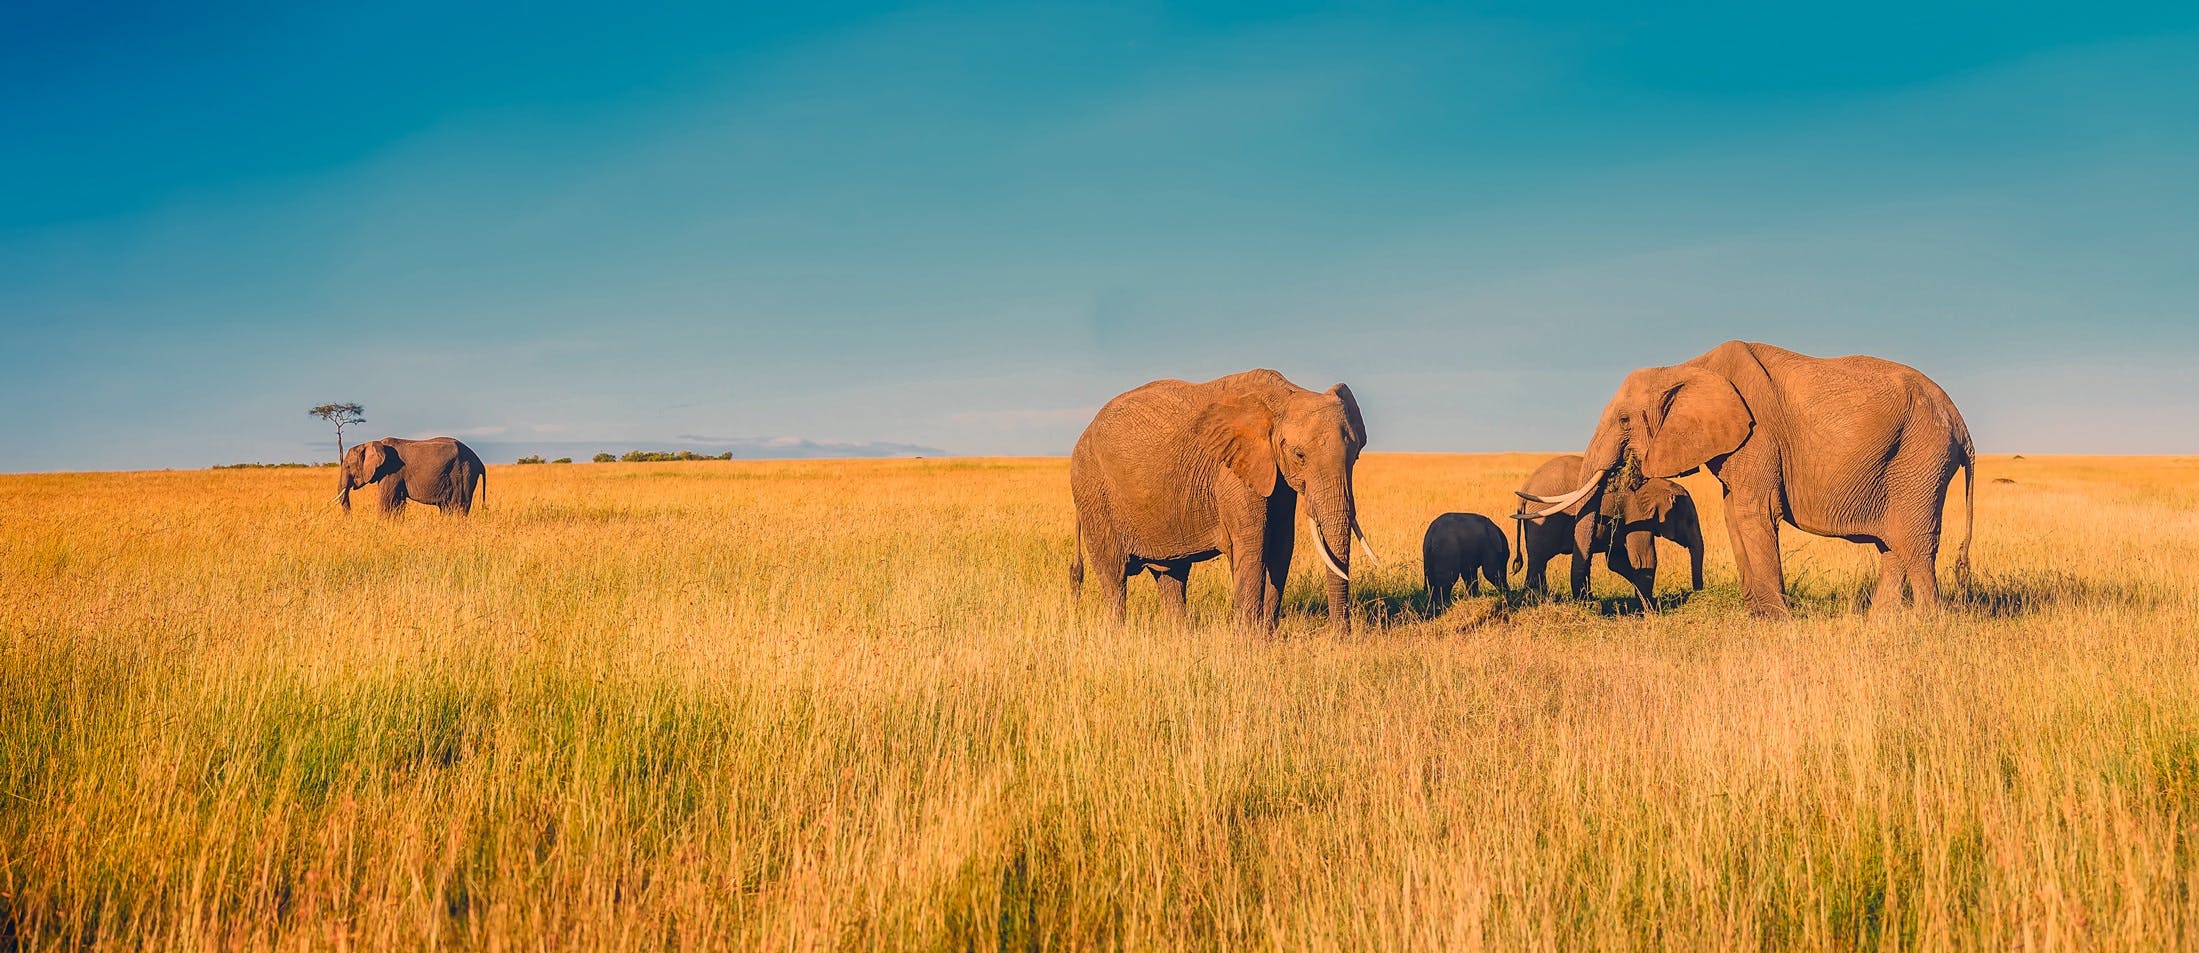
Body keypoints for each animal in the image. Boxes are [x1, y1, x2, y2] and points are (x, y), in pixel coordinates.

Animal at [336, 435, 488, 517]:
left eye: (348, 466)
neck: (375, 443)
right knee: (447, 508)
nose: (350, 518)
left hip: (463, 474)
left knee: (458, 507)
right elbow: (398, 503)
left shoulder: (392, 471)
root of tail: (479, 461)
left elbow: (386, 501)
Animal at [1068, 369, 1372, 629]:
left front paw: (1266, 637)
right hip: (1093, 491)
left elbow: (1281, 545)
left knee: (1171, 576)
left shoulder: (1274, 474)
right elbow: (1253, 545)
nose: (1341, 636)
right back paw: (1117, 633)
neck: (1285, 395)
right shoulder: (1232, 472)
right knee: (1114, 577)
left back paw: (1181, 636)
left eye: (1356, 455)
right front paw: (1249, 640)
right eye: (1300, 455)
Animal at [1512, 455, 1715, 616]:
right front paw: (1650, 610)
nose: (1698, 591)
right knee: (1539, 559)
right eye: (1689, 521)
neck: (1660, 484)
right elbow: (1643, 559)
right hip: (1544, 521)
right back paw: (1536, 600)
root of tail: (1525, 489)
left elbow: (1616, 560)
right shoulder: (1637, 514)